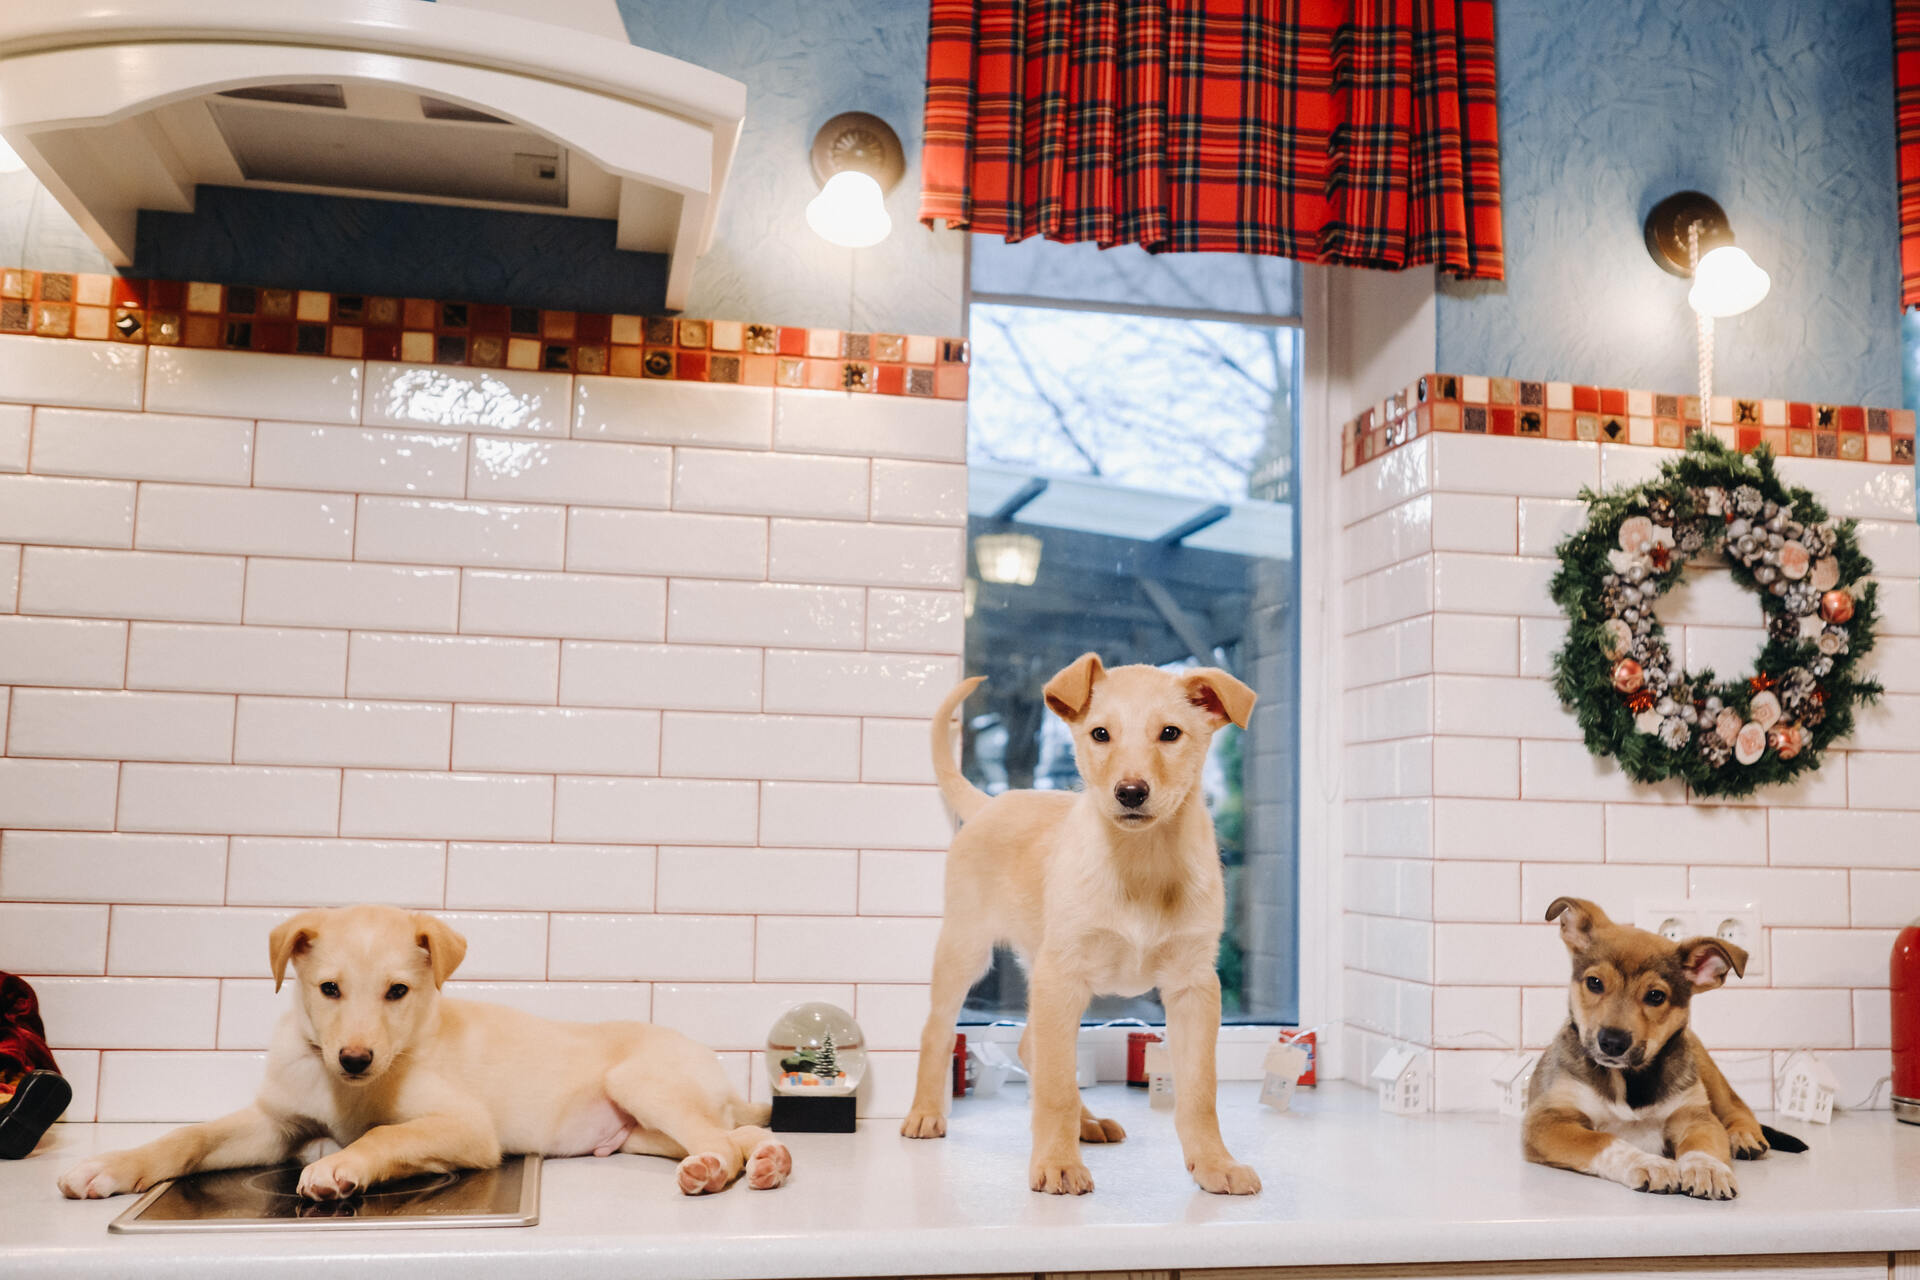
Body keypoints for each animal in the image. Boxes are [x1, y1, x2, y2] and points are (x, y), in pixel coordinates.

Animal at [61, 909, 787, 1205]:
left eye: (397, 992)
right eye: (329, 989)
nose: (355, 1058)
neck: (350, 1087)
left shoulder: (466, 1127)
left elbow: (386, 1134)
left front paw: (340, 1167)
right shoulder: (275, 1122)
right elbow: (191, 1136)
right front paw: (108, 1167)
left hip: (642, 1081)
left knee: (721, 1142)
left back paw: (720, 1173)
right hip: (641, 1133)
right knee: (736, 1134)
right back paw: (764, 1161)